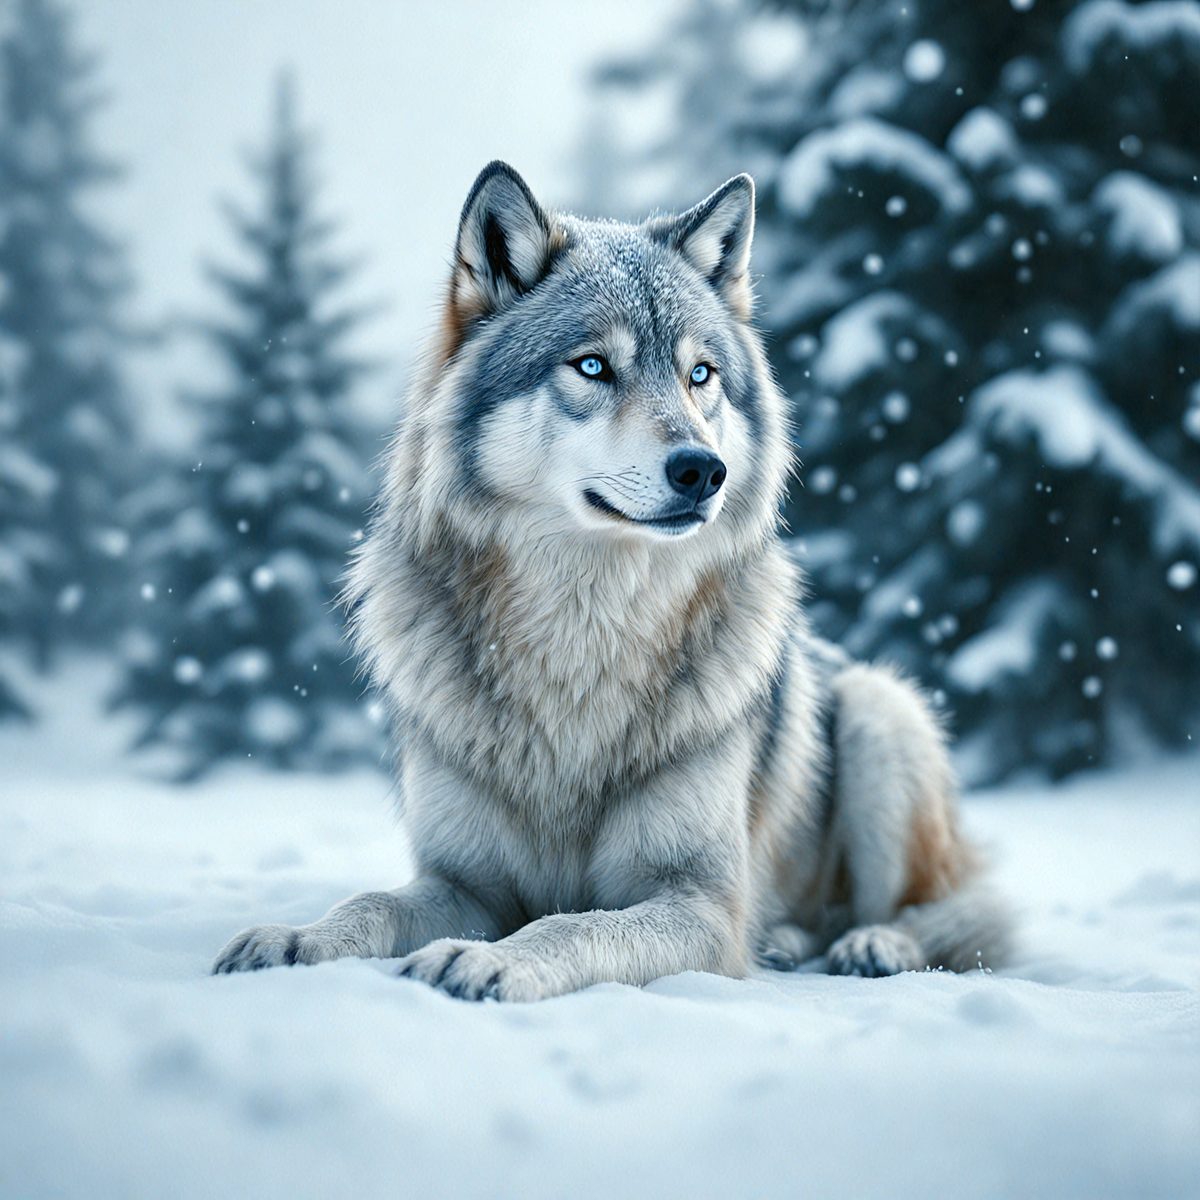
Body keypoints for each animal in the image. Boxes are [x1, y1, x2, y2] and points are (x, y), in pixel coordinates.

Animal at [213, 162, 1011, 999]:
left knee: (938, 912)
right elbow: (369, 903)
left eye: (701, 376)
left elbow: (575, 924)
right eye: (593, 365)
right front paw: (294, 939)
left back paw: (869, 945)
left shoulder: (700, 905)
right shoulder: (465, 884)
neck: (581, 635)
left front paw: (489, 959)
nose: (703, 470)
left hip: (877, 712)